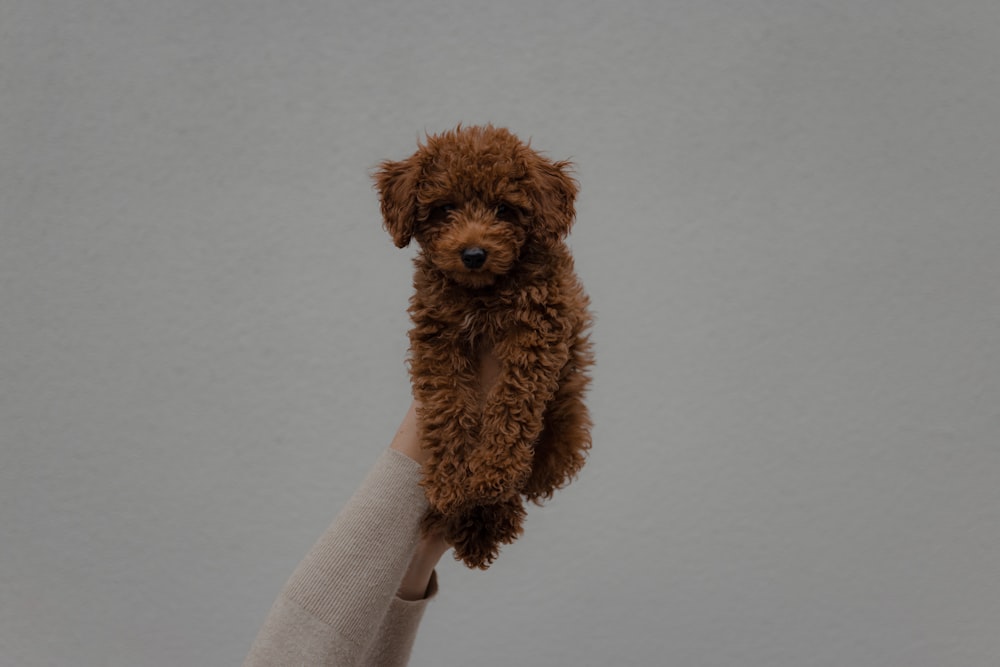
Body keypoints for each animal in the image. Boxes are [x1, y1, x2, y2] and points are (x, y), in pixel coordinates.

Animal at [376, 125, 592, 568]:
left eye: (504, 210)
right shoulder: (438, 336)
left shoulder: (538, 333)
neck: (482, 295)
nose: (473, 254)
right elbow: (446, 405)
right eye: (445, 208)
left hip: (563, 429)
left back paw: (488, 519)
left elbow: (513, 403)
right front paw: (450, 482)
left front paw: (493, 471)